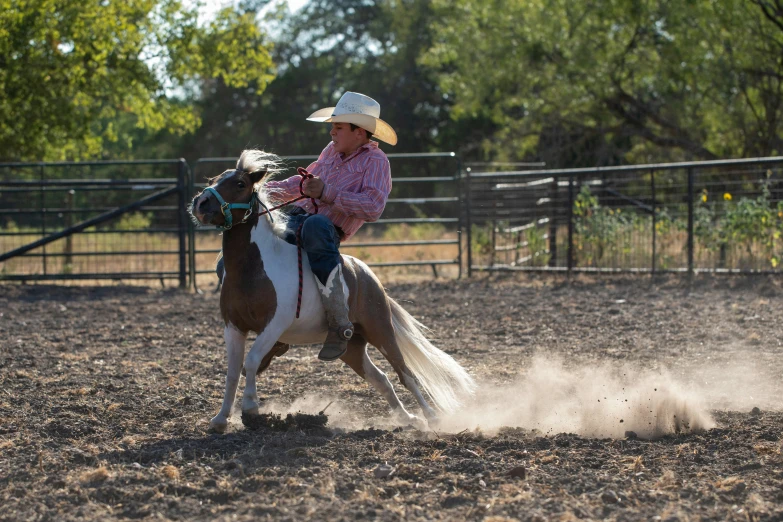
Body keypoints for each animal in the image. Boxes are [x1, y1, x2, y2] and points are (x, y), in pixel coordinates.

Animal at [191, 147, 472, 430]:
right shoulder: (233, 326)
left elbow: (250, 361)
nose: (200, 204)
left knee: (405, 373)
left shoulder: (274, 324)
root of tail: (366, 274)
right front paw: (221, 418)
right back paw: (406, 418)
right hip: (352, 346)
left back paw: (431, 417)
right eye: (212, 180)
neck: (255, 266)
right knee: (381, 378)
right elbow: (232, 372)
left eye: (240, 183)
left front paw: (250, 407)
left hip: (381, 330)